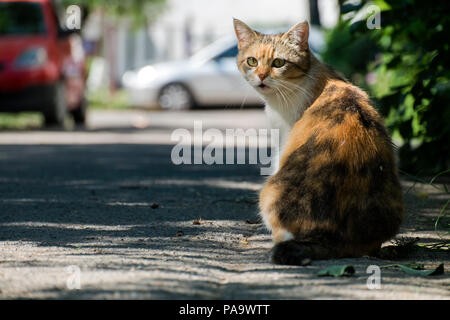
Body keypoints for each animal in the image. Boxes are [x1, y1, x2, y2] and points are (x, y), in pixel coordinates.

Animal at [234, 18, 402, 264]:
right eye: (252, 61)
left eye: (278, 62)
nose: (262, 76)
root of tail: (341, 239)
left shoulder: (282, 142)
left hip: (270, 191)